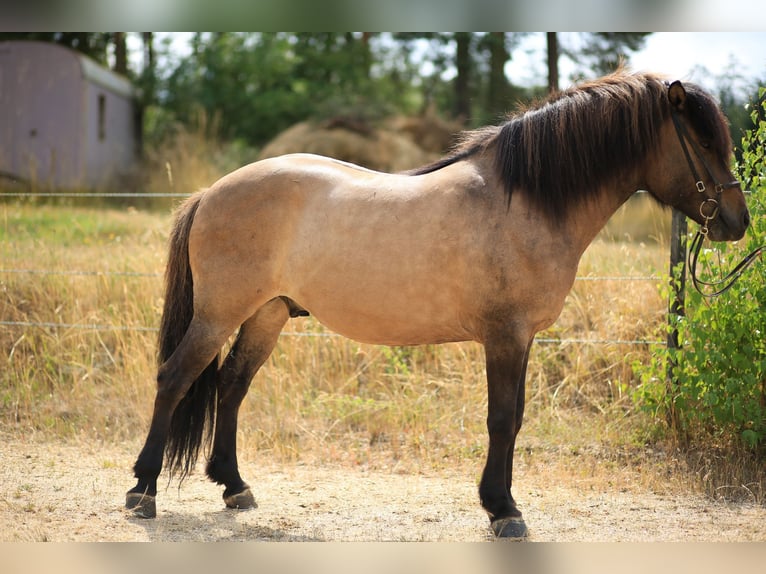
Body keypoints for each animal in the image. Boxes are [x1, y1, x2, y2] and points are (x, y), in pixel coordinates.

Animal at [126, 71, 752, 540]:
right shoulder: (505, 336)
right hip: (218, 314)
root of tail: (211, 192)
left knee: (231, 385)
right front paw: (503, 510)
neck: (524, 201)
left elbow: (515, 418)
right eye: (701, 142)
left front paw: (502, 503)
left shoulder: (521, 338)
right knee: (175, 378)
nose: (737, 222)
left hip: (267, 313)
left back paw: (235, 487)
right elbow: (502, 418)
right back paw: (142, 490)